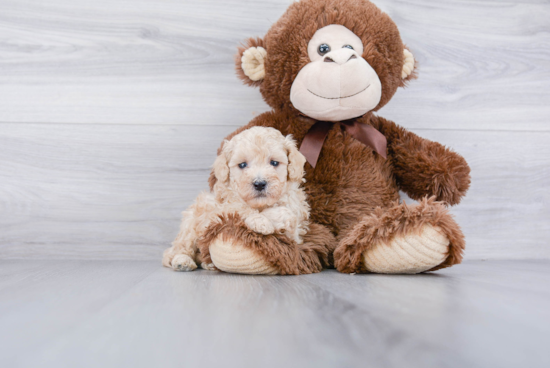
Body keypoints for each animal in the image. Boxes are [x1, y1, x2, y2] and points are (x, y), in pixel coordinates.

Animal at [164, 126, 310, 270]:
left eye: (274, 163)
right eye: (242, 165)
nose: (259, 183)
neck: (260, 205)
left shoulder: (295, 234)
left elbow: (287, 214)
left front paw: (269, 218)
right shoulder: (217, 212)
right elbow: (239, 207)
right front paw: (260, 221)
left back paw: (207, 263)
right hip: (191, 223)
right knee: (178, 248)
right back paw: (183, 261)